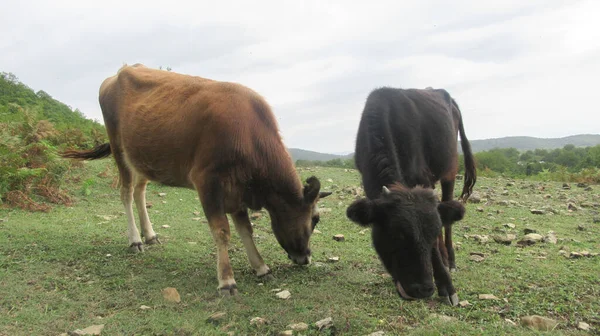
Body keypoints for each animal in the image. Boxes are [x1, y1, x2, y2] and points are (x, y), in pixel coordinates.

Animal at [61, 64, 332, 296]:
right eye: (316, 218)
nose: (305, 257)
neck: (247, 134)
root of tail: (119, 72)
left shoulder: (237, 189)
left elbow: (246, 230)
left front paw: (261, 267)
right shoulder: (208, 181)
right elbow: (222, 231)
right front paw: (227, 280)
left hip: (143, 157)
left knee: (139, 192)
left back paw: (150, 235)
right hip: (120, 150)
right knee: (126, 193)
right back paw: (135, 240)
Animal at [344, 86, 476, 304]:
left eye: (430, 234)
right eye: (397, 235)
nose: (423, 289)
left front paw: (446, 285)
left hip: (450, 170)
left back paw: (450, 259)